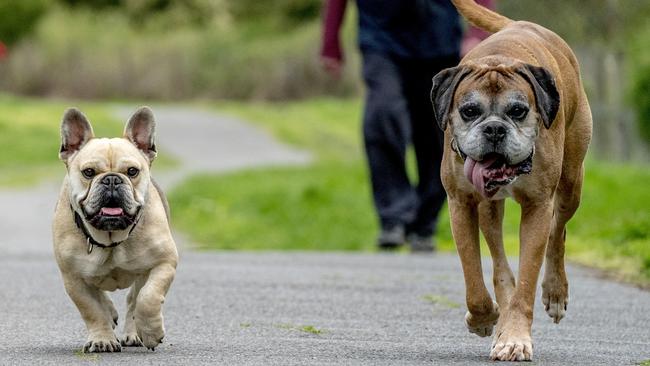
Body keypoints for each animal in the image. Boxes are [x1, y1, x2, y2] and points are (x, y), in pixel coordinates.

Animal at [430, 0, 592, 360]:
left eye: (518, 111)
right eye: (469, 111)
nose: (494, 129)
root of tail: (520, 23)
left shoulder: (537, 207)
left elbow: (528, 280)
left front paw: (516, 337)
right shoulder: (461, 204)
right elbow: (474, 278)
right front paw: (484, 318)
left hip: (571, 184)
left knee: (558, 233)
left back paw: (555, 292)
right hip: (489, 210)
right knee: (500, 267)